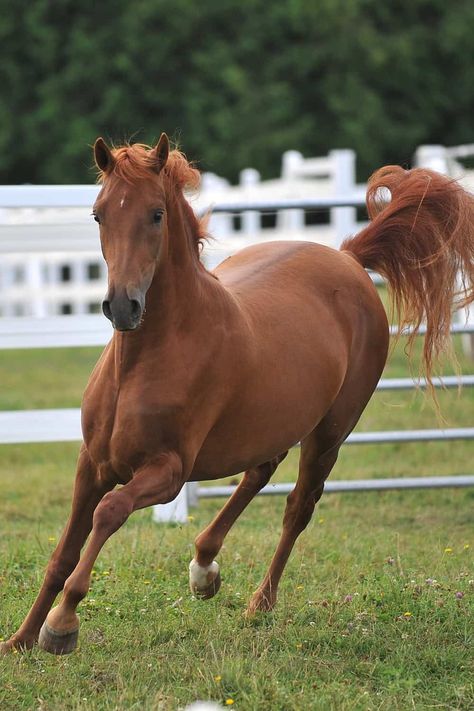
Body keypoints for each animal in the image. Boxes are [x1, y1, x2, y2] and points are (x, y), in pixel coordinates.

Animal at [1, 134, 472, 656]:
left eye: (156, 214)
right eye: (99, 213)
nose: (122, 306)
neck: (147, 360)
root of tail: (348, 257)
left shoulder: (168, 472)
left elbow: (110, 513)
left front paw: (61, 625)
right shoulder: (93, 464)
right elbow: (63, 554)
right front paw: (21, 640)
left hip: (330, 432)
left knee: (298, 506)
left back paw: (258, 602)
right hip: (271, 422)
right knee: (261, 471)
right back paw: (204, 569)